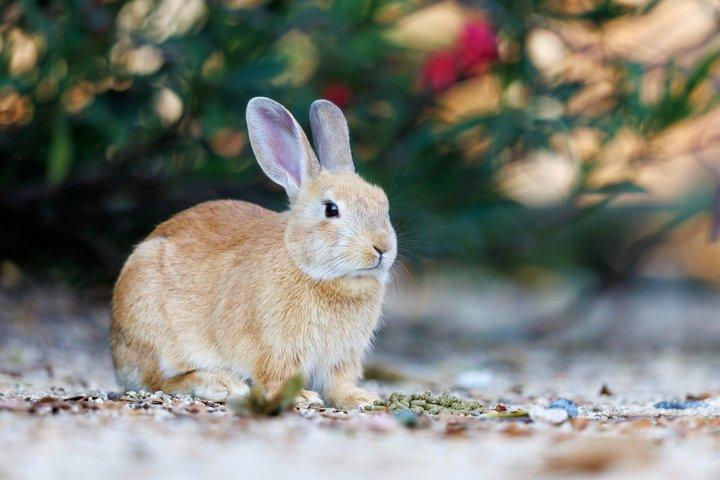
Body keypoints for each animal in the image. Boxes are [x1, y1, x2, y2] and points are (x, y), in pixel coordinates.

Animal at [109, 97, 397, 409]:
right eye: (331, 209)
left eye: (383, 203)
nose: (382, 248)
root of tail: (117, 353)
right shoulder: (274, 348)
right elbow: (276, 377)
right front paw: (302, 397)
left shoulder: (340, 359)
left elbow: (338, 384)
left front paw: (361, 399)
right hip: (156, 334)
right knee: (162, 381)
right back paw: (221, 385)